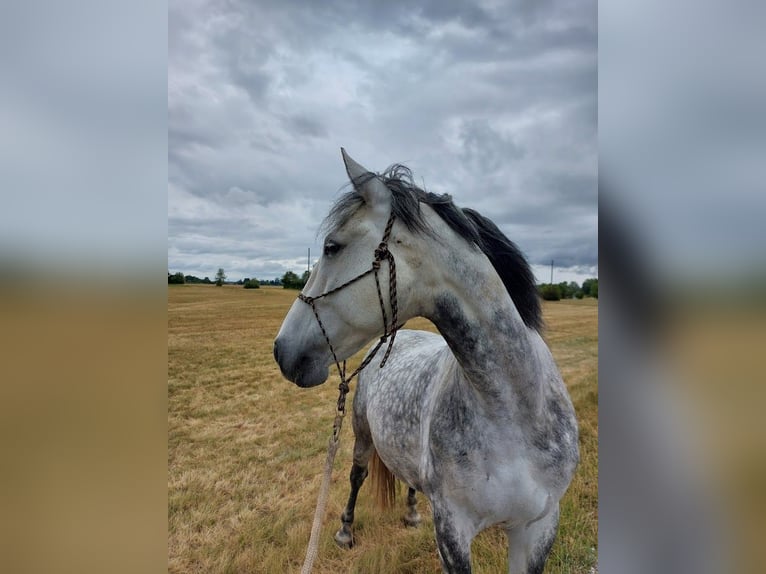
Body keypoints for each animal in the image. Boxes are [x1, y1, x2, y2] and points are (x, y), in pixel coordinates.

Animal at [273, 149, 579, 573]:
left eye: (332, 246)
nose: (280, 349)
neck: (514, 410)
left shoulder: (538, 528)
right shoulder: (453, 531)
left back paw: (412, 512)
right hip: (362, 434)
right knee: (356, 475)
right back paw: (345, 532)